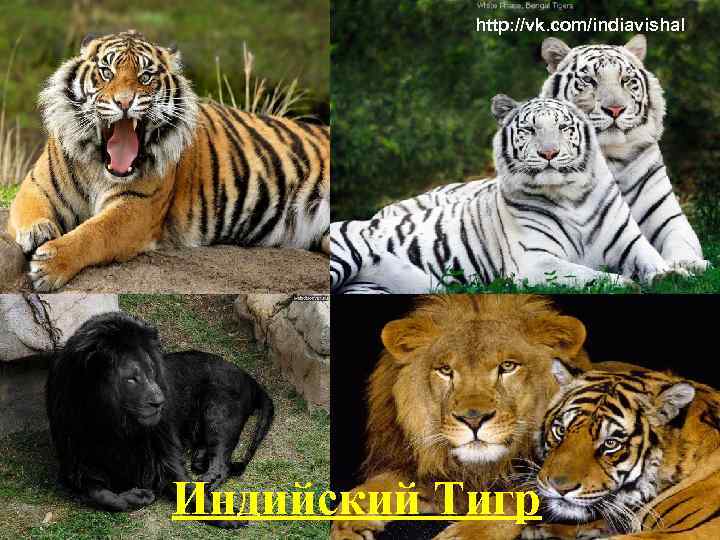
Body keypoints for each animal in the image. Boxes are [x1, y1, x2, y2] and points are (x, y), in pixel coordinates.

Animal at [7, 30, 330, 291]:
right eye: (106, 72)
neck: (99, 166)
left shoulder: (137, 206)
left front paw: (50, 264)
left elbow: (94, 232)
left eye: (145, 77)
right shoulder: (36, 184)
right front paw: (37, 231)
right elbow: (29, 208)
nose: (124, 102)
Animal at [330, 96, 680, 294]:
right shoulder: (534, 261)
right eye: (529, 130)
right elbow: (585, 274)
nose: (549, 153)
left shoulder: (630, 243)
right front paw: (625, 284)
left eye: (564, 128)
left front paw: (671, 275)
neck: (571, 197)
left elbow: (652, 259)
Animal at [375, 35, 708, 275]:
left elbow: (682, 243)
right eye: (589, 81)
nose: (615, 109)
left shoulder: (669, 219)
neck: (609, 157)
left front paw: (690, 265)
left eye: (627, 80)